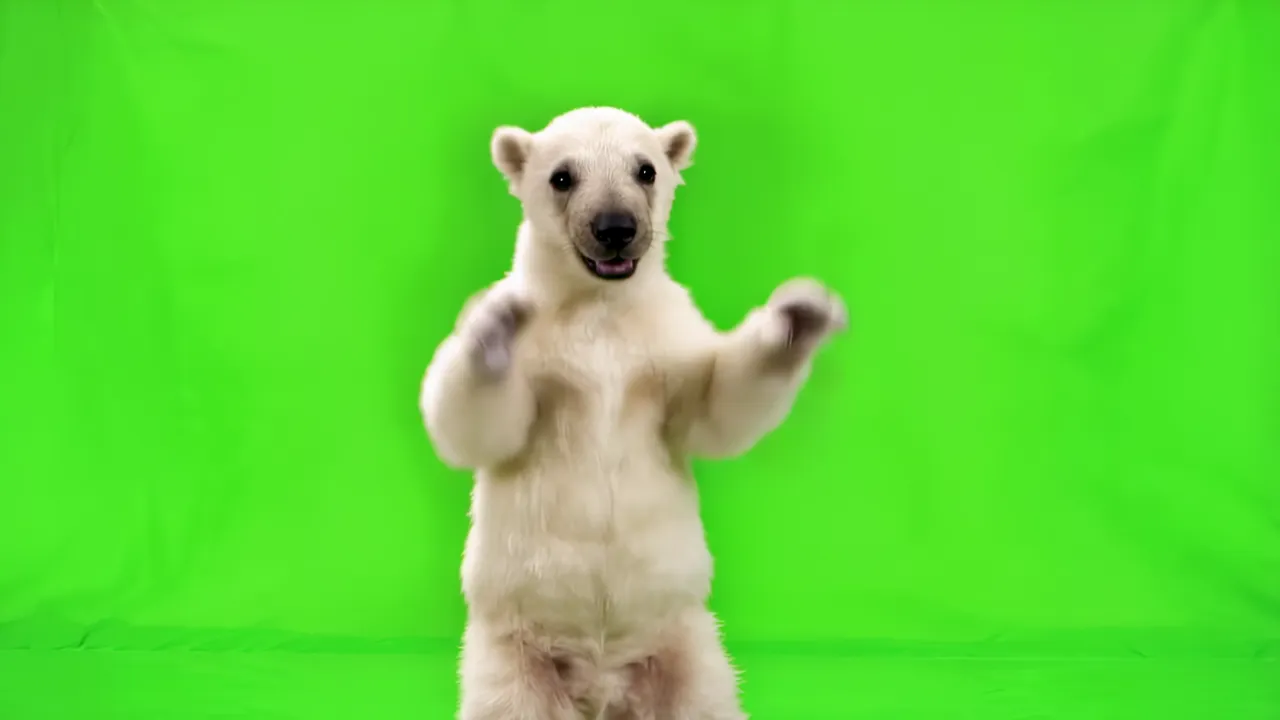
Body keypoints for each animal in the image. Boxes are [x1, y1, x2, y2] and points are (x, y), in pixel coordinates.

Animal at [419, 106, 847, 720]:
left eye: (646, 169)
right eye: (562, 176)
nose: (616, 227)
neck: (600, 307)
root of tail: (601, 691)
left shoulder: (664, 341)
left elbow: (714, 408)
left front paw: (799, 316)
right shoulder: (545, 358)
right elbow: (478, 429)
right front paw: (493, 327)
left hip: (686, 644)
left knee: (704, 700)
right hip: (512, 652)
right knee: (510, 704)